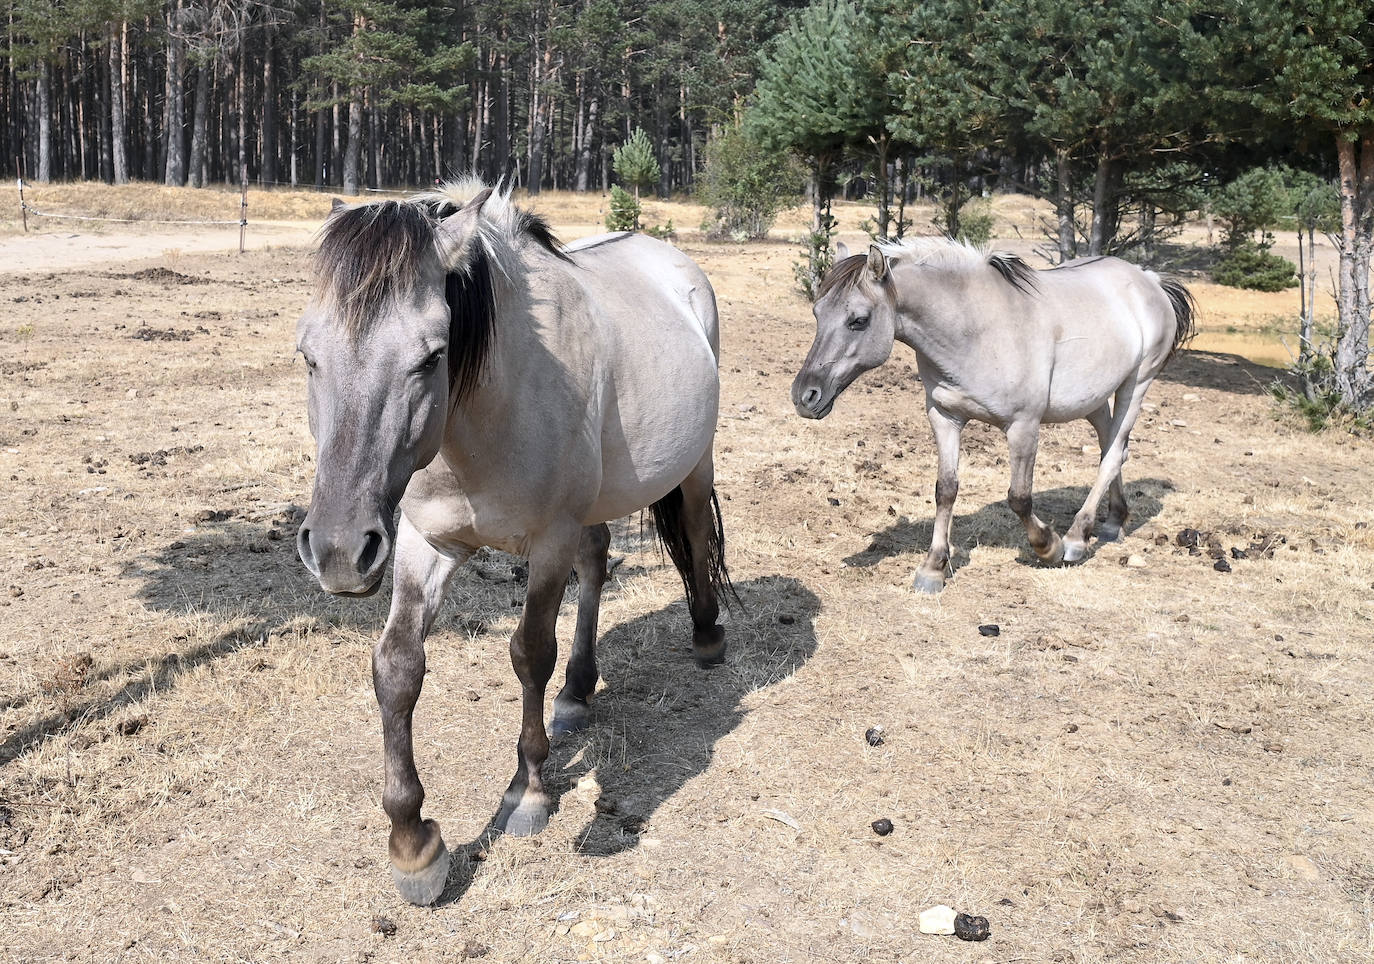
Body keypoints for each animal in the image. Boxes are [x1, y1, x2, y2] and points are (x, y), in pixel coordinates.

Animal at [296, 179, 736, 906]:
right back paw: (578, 693)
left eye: (432, 356)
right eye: (308, 356)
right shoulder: (424, 542)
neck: (482, 418)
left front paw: (527, 791)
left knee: (695, 534)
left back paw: (705, 636)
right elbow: (397, 667)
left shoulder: (548, 541)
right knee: (597, 562)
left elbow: (530, 653)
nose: (337, 551)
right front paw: (413, 845)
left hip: (694, 463)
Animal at [791, 237, 1198, 593]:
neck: (976, 329)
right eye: (816, 312)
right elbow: (946, 490)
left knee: (1113, 455)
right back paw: (1113, 522)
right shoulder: (944, 417)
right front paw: (933, 569)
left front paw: (1048, 546)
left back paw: (1076, 538)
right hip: (1095, 399)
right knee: (1112, 449)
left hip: (1136, 385)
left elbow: (1019, 497)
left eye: (858, 320)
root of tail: (1149, 279)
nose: (805, 396)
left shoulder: (1023, 426)